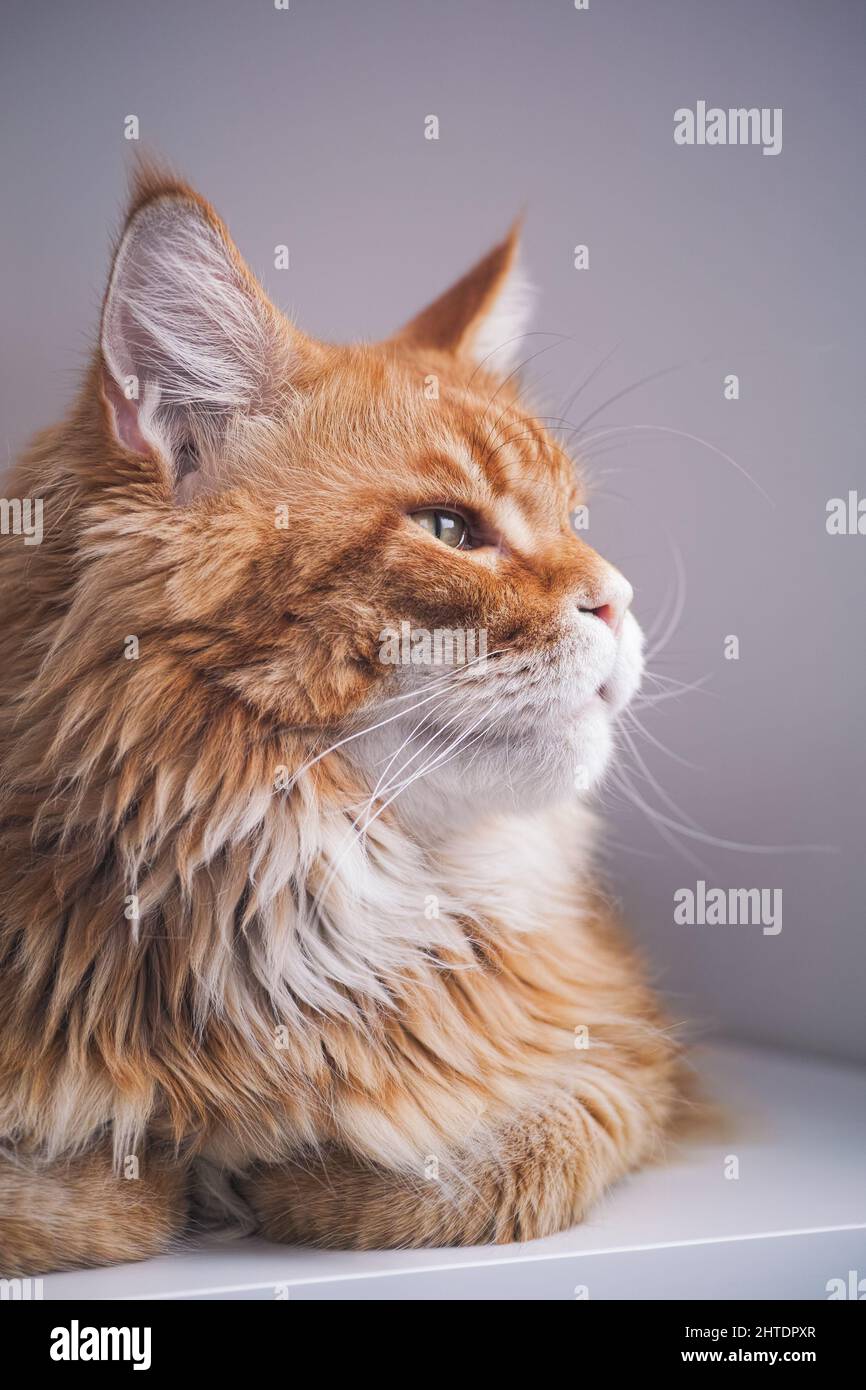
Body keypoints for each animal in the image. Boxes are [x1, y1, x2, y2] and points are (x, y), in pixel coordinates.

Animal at [0, 162, 683, 1273]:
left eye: (577, 522)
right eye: (450, 529)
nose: (618, 600)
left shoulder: (621, 1047)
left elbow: (475, 1166)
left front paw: (292, 1179)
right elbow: (87, 1205)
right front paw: (156, 1179)